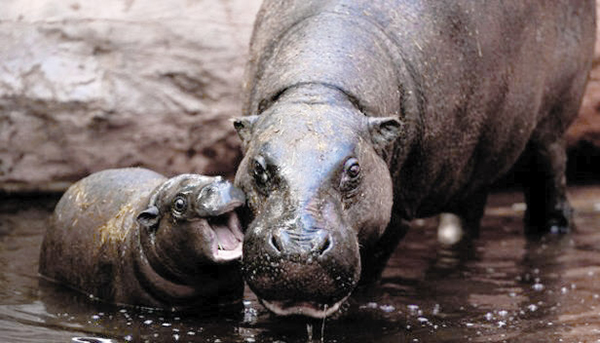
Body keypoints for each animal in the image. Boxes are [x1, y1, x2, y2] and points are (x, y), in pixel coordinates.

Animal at [234, 0, 596, 318]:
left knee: (550, 190)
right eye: (258, 167)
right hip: (473, 162)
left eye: (354, 170)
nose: (299, 248)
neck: (319, 90)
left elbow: (368, 276)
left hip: (549, 132)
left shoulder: (399, 212)